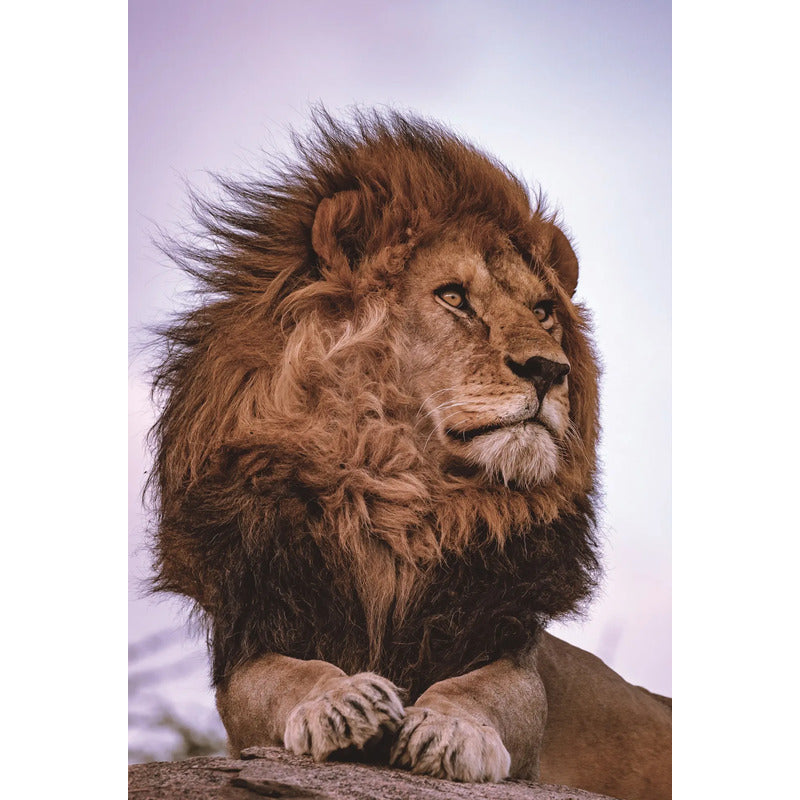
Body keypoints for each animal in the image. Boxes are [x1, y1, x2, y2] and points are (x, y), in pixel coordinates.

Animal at [149, 109, 670, 800]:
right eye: (453, 298)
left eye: (543, 311)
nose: (549, 370)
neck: (401, 496)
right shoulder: (252, 636)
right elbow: (284, 676)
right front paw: (340, 702)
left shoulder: (512, 653)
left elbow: (481, 691)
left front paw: (450, 729)